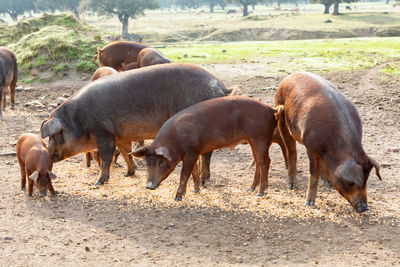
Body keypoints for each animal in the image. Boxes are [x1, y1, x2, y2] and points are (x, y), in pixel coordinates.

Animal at [41, 62, 230, 186]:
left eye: (55, 135)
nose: (48, 153)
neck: (78, 121)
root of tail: (221, 87)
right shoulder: (121, 136)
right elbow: (127, 153)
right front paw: (129, 174)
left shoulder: (104, 135)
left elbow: (106, 158)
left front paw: (97, 183)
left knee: (206, 154)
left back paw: (203, 181)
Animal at [130, 96, 282, 201]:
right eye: (147, 163)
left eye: (160, 162)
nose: (149, 186)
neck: (175, 140)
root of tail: (271, 109)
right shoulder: (194, 152)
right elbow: (194, 171)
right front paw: (196, 191)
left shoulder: (191, 152)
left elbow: (184, 173)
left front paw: (178, 197)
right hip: (253, 140)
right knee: (258, 162)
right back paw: (250, 189)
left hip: (260, 137)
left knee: (265, 162)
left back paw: (261, 193)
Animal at [276, 72, 382, 213]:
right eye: (349, 183)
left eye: (366, 180)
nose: (364, 208)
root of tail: (289, 77)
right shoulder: (310, 146)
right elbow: (313, 174)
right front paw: (309, 204)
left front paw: (329, 185)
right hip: (281, 114)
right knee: (292, 151)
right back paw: (292, 186)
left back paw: (328, 184)